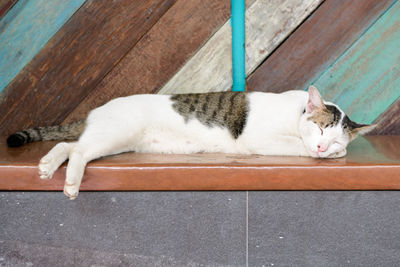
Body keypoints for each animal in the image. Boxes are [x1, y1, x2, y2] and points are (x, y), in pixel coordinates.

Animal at [6, 87, 374, 200]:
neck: (295, 111)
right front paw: (316, 152)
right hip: (113, 133)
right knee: (78, 150)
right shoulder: (258, 138)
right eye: (321, 129)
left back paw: (47, 167)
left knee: (69, 147)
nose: (324, 148)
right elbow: (296, 146)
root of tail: (95, 111)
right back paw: (69, 184)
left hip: (112, 141)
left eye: (335, 137)